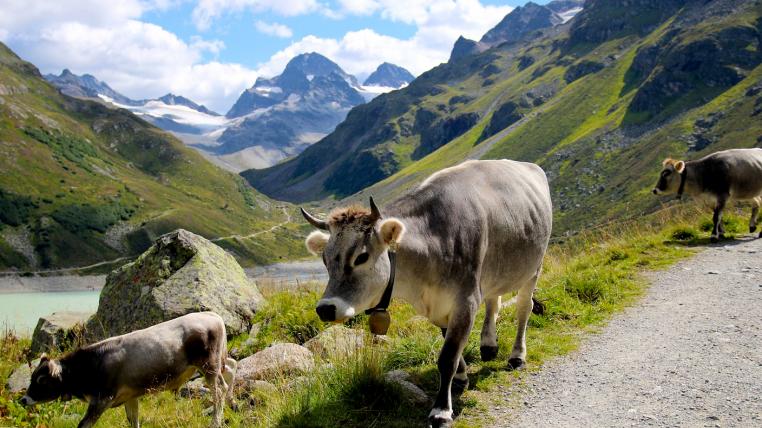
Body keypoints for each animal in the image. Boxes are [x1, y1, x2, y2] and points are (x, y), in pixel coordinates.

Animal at [19, 312, 236, 428]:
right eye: (32, 377)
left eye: (41, 380)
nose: (23, 400)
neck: (91, 364)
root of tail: (210, 314)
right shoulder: (130, 396)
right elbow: (133, 421)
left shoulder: (101, 399)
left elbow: (83, 424)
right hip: (217, 361)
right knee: (232, 368)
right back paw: (232, 402)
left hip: (208, 365)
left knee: (219, 390)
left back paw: (216, 421)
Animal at [301, 159, 553, 427]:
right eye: (325, 260)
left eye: (361, 256)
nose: (326, 308)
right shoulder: (441, 305)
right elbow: (450, 346)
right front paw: (461, 378)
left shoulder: (466, 300)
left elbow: (447, 357)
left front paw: (441, 410)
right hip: (494, 270)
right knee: (494, 301)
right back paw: (488, 346)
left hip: (533, 267)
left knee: (523, 308)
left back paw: (517, 356)